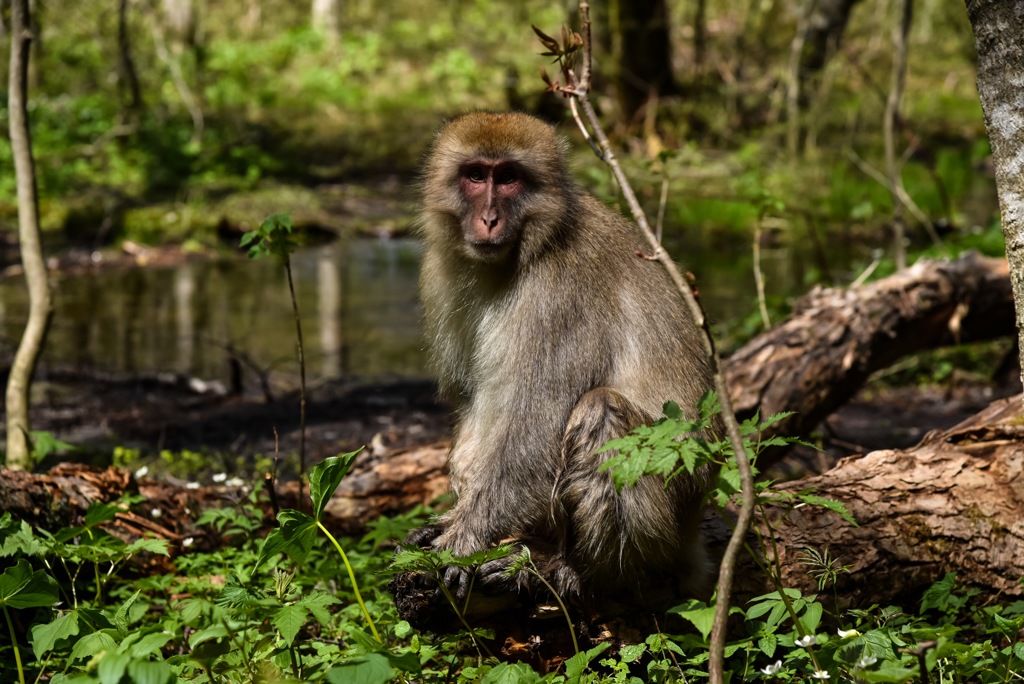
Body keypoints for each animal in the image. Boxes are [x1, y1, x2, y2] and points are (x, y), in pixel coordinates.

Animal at [405, 112, 712, 614]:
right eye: (476, 175)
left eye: (509, 177)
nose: (489, 218)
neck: (527, 249)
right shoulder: (440, 272)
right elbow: (472, 402)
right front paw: (451, 519)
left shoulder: (560, 297)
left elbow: (536, 429)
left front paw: (464, 537)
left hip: (675, 514)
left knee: (601, 411)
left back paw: (580, 574)